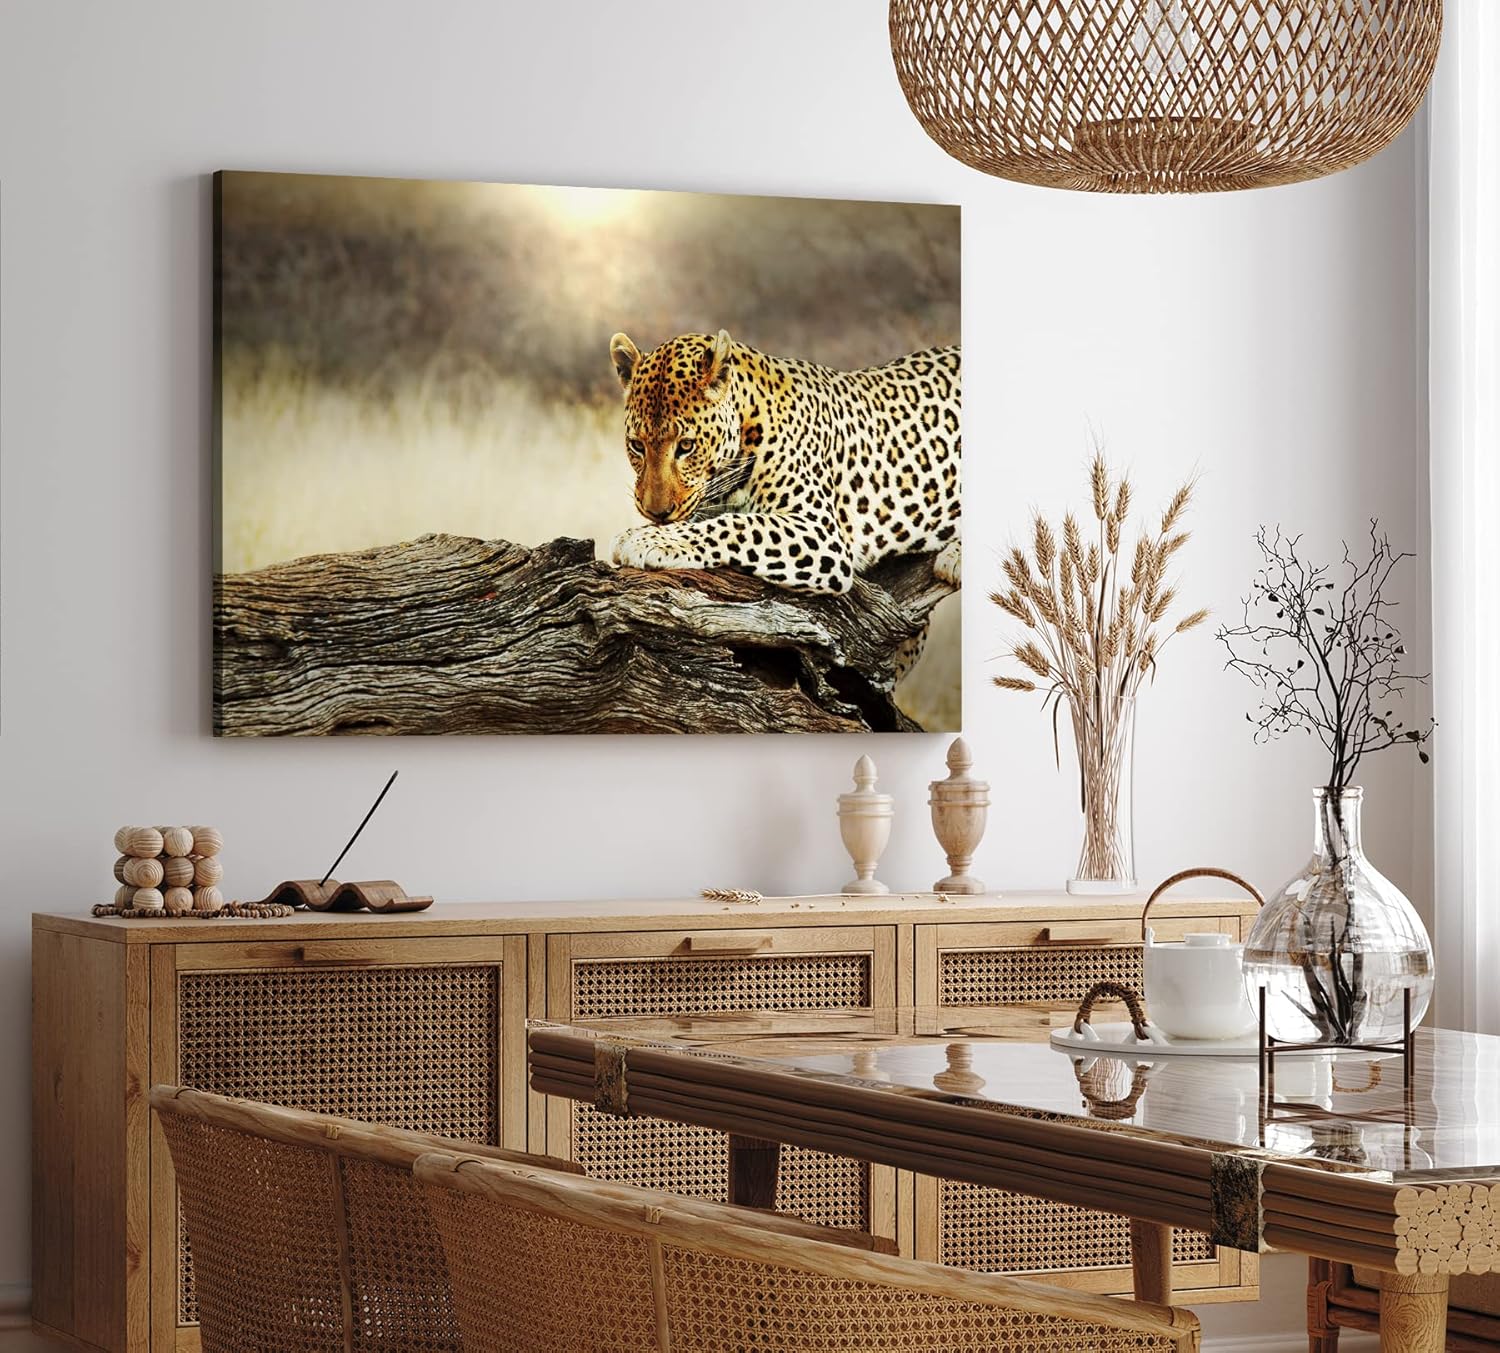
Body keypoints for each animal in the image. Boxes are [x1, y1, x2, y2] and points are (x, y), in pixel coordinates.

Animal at [607, 328, 961, 596]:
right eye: (636, 446)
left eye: (686, 446)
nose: (656, 513)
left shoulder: (820, 530)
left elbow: (738, 525)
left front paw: (645, 539)